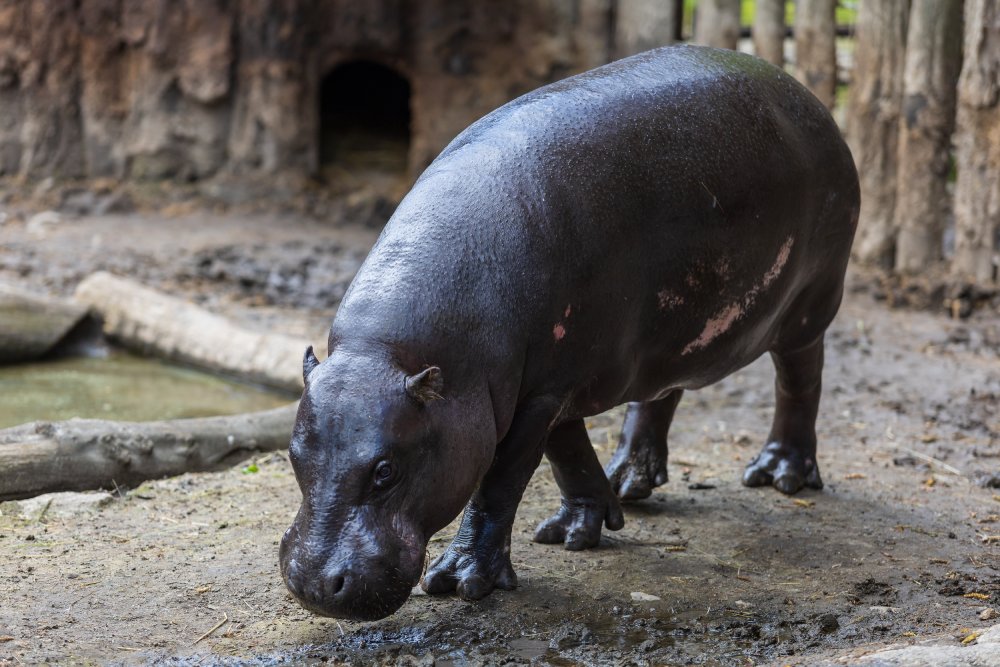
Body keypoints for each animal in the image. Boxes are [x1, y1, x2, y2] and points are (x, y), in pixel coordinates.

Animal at [280, 44, 859, 621]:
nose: (312, 584)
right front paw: (577, 531)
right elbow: (569, 453)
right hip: (668, 334)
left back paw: (779, 473)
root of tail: (807, 96)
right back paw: (629, 480)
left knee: (799, 380)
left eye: (385, 469)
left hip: (811, 302)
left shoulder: (539, 394)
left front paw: (461, 579)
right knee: (658, 394)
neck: (391, 353)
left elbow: (501, 479)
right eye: (293, 453)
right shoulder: (550, 383)